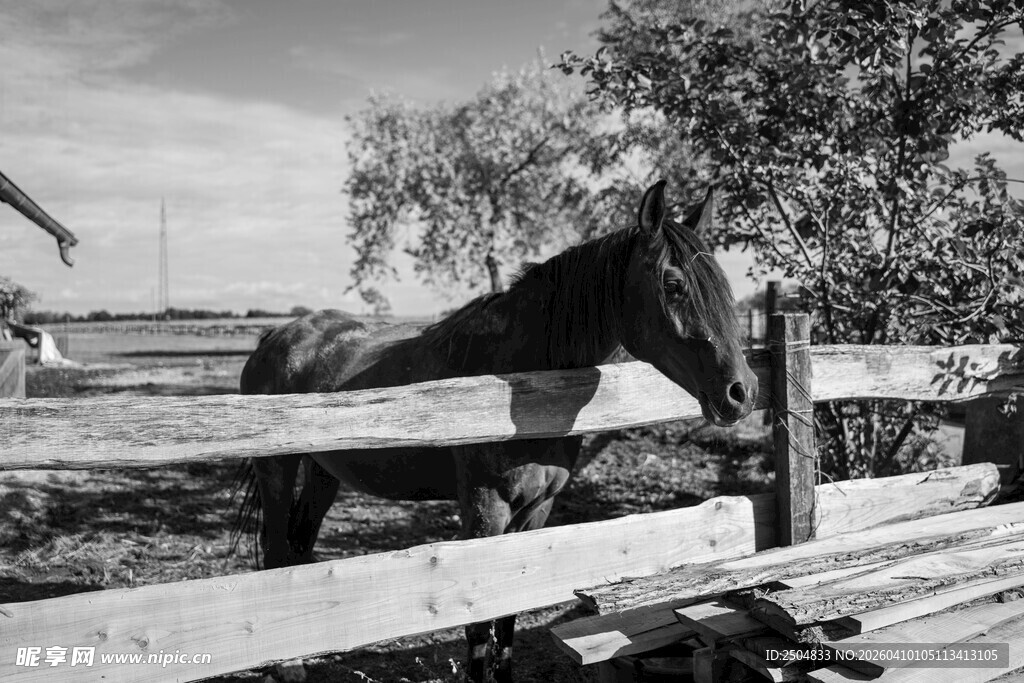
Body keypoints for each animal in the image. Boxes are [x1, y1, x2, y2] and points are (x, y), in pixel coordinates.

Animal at [235, 180, 758, 682]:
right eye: (673, 284)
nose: (742, 391)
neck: (522, 382)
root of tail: (277, 338)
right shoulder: (486, 509)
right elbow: (477, 623)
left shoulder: (537, 509)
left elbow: (507, 619)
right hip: (276, 471)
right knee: (277, 552)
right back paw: (288, 668)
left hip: (324, 474)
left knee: (299, 546)